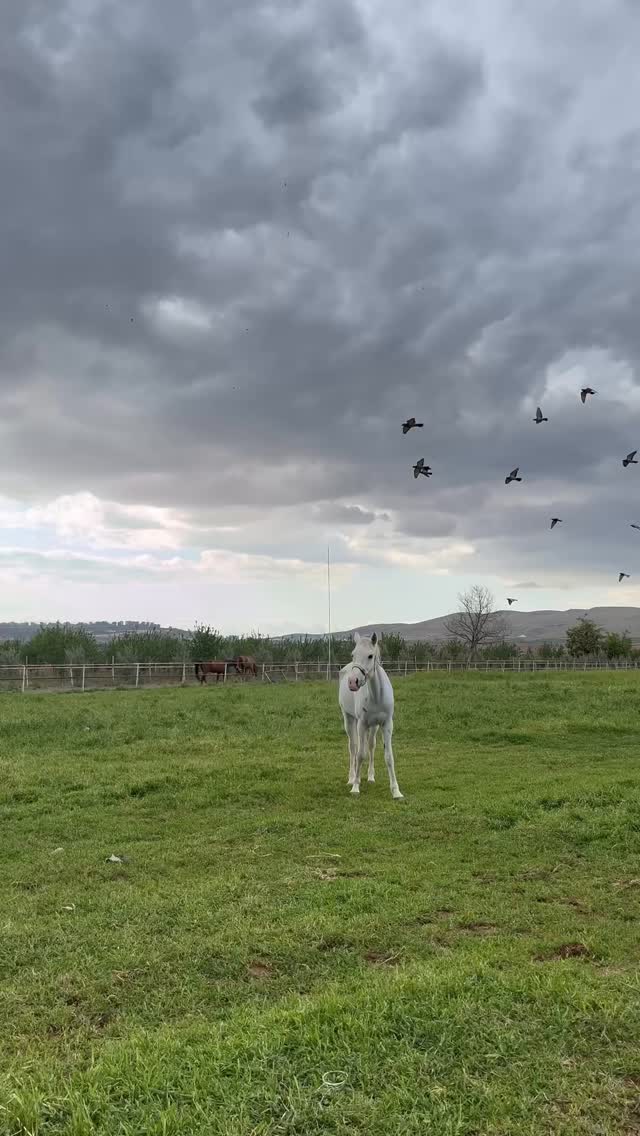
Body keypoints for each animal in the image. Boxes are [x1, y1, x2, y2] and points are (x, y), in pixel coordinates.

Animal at [338, 631, 404, 800]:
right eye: (353, 654)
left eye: (370, 655)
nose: (352, 682)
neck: (376, 696)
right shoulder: (361, 724)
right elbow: (360, 754)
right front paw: (355, 787)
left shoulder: (386, 724)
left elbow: (388, 756)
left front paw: (396, 791)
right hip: (350, 720)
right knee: (353, 748)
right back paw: (352, 777)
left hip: (373, 726)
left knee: (371, 746)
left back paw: (370, 777)